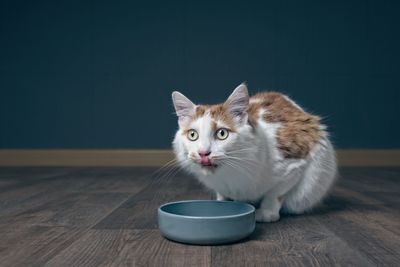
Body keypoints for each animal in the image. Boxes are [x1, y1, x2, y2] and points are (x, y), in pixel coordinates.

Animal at [170, 85, 336, 223]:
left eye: (222, 133)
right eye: (192, 135)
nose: (203, 152)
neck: (229, 175)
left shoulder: (295, 166)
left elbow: (275, 194)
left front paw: (267, 213)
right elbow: (222, 194)